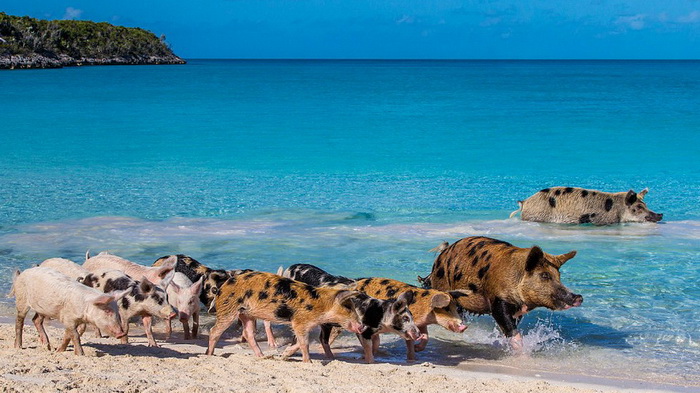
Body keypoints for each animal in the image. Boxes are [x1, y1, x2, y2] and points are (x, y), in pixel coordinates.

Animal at [206, 272, 366, 362]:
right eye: (348, 307)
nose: (362, 326)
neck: (320, 305)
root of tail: (222, 288)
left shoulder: (306, 324)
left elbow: (302, 342)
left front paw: (283, 355)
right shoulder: (299, 321)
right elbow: (304, 343)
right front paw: (308, 363)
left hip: (246, 314)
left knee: (248, 333)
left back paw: (262, 356)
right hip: (229, 309)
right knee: (214, 331)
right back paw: (209, 354)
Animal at [280, 264, 422, 362]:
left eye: (412, 317)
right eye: (405, 318)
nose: (419, 334)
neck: (379, 315)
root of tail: (291, 267)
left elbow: (375, 343)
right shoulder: (363, 330)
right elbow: (369, 346)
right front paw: (369, 360)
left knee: (321, 339)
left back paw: (330, 357)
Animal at [424, 236, 584, 350]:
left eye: (559, 276)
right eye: (545, 275)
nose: (578, 297)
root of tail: (440, 256)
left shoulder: (517, 311)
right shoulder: (498, 301)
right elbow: (510, 329)